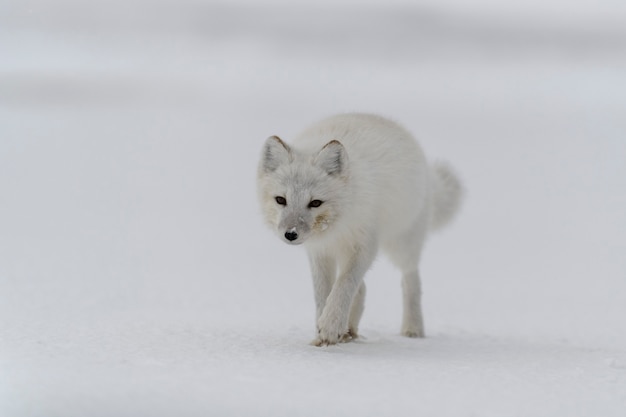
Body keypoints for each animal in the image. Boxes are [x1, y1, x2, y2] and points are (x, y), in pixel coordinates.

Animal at [256, 113, 460, 344]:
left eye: (315, 203)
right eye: (281, 200)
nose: (290, 234)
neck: (336, 225)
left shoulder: (364, 245)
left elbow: (345, 284)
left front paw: (330, 325)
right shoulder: (320, 251)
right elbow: (323, 293)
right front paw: (322, 335)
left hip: (402, 243)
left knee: (411, 280)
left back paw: (413, 329)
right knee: (362, 288)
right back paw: (350, 331)